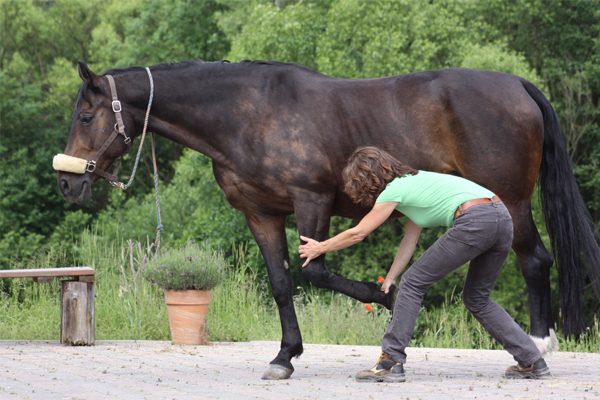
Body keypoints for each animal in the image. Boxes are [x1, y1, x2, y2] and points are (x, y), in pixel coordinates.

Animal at [57, 59, 600, 378]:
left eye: (86, 117)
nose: (66, 183)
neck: (249, 113)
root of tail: (518, 86)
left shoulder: (311, 201)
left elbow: (314, 271)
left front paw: (390, 298)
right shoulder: (262, 214)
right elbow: (282, 283)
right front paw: (284, 357)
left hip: (511, 200)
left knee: (535, 261)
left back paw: (537, 347)